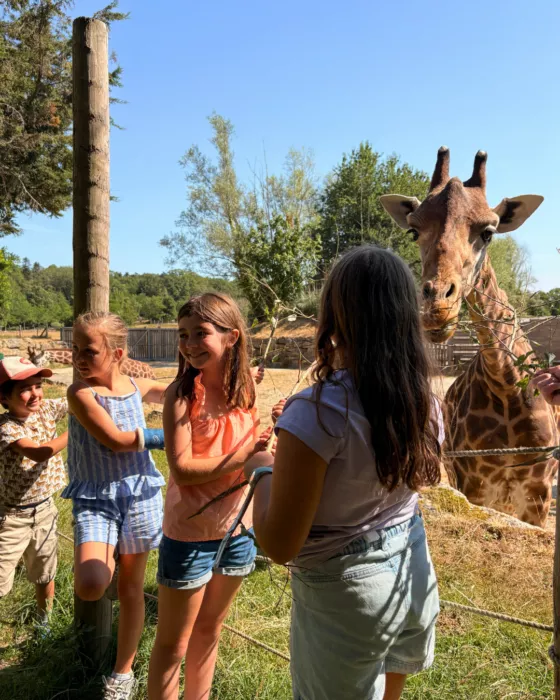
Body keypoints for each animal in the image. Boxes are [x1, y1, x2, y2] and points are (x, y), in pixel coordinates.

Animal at [381, 148, 559, 526]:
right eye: (414, 231)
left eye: (489, 232)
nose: (436, 308)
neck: (506, 386)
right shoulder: (475, 485)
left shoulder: (537, 493)